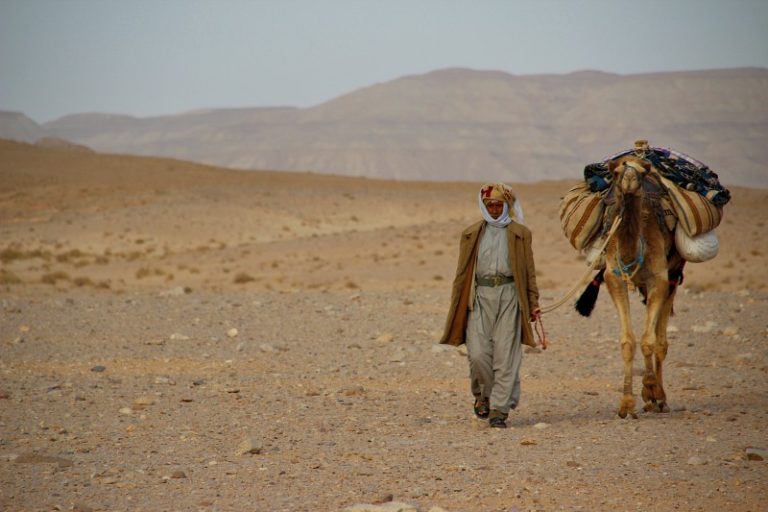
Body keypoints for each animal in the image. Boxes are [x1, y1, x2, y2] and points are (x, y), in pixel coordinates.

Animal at [576, 155, 684, 418]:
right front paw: (627, 403)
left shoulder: (659, 280)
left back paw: (660, 400)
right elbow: (627, 341)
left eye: (641, 174)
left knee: (661, 340)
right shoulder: (614, 280)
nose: (629, 180)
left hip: (674, 275)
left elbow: (649, 341)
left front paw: (652, 389)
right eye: (615, 173)